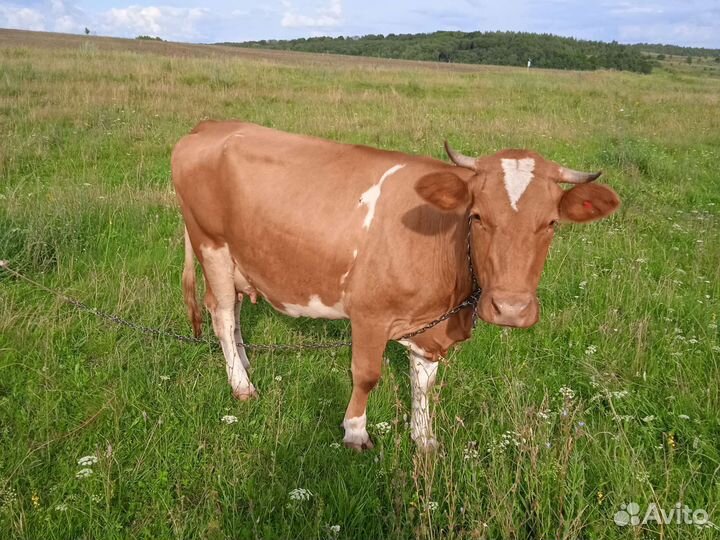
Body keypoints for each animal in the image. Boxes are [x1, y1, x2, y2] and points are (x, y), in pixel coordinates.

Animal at [171, 121, 620, 451]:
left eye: (551, 223)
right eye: (477, 216)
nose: (510, 309)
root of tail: (209, 126)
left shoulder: (434, 326)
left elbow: (425, 383)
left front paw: (424, 438)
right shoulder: (369, 314)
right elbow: (367, 374)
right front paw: (355, 433)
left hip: (238, 256)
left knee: (235, 312)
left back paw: (245, 364)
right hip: (211, 243)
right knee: (222, 314)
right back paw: (242, 386)